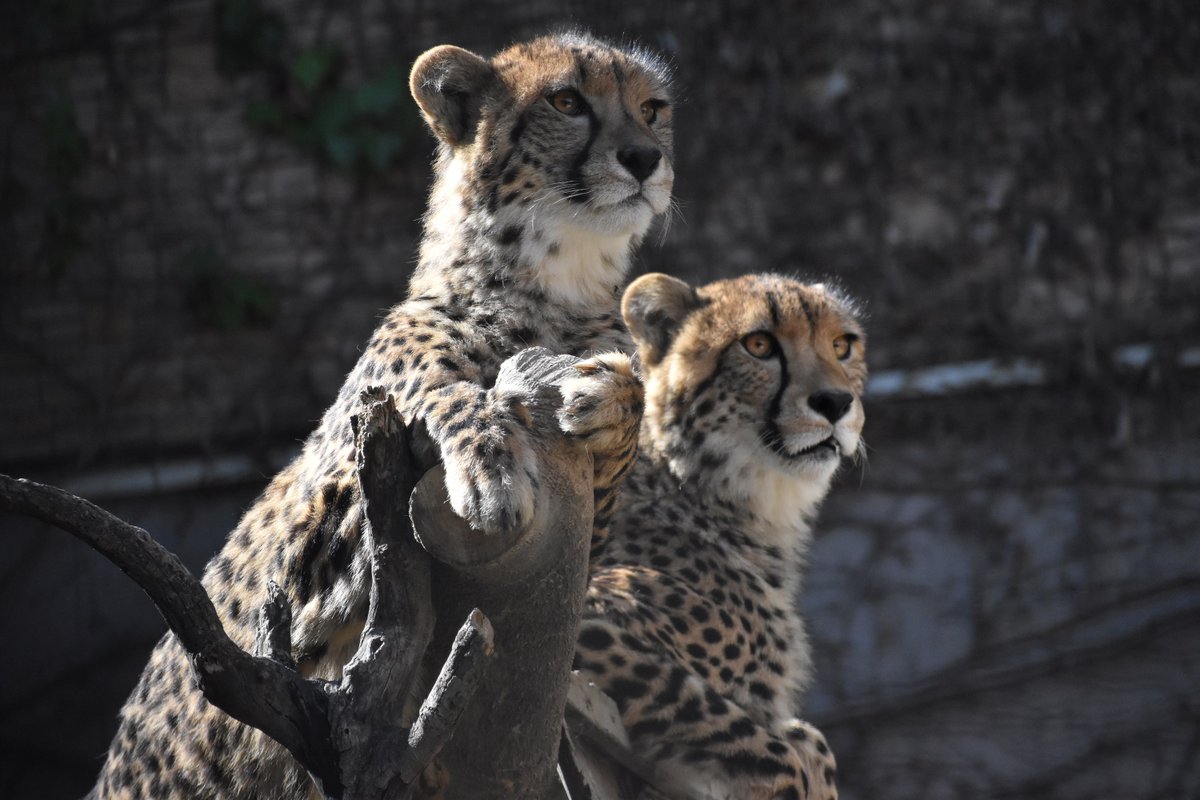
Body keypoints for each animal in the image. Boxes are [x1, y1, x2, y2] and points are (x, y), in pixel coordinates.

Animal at [91, 32, 676, 800]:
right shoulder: (310, 545)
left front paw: (608, 396)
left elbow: (620, 400)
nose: (644, 157)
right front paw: (489, 466)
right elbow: (441, 394)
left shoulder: (579, 536)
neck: (558, 288)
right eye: (567, 100)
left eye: (653, 108)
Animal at [571, 272, 864, 796]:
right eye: (759, 344)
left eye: (842, 345)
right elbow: (780, 749)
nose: (835, 402)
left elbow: (807, 742)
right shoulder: (585, 621)